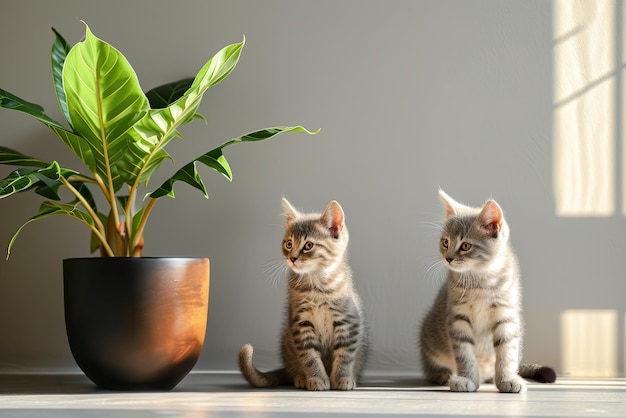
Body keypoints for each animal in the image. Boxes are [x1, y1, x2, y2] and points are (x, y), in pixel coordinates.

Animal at [238, 198, 366, 390]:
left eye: (308, 245)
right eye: (289, 244)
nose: (292, 258)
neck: (317, 286)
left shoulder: (348, 321)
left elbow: (345, 353)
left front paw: (343, 377)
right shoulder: (300, 322)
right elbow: (309, 355)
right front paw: (316, 378)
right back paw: (299, 377)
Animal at [416, 191, 552, 394]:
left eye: (465, 246)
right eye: (445, 242)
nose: (448, 258)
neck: (481, 280)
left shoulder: (506, 315)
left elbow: (507, 351)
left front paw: (507, 378)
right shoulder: (457, 317)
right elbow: (464, 352)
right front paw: (467, 378)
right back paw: (444, 375)